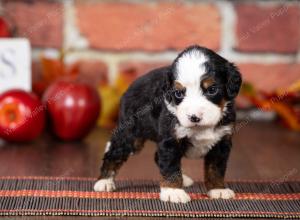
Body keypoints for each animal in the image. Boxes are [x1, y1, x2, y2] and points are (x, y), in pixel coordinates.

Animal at [94, 44, 241, 203]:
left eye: (212, 89)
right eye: (179, 93)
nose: (194, 117)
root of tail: (131, 87)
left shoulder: (221, 141)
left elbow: (216, 168)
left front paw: (218, 189)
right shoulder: (170, 140)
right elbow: (170, 166)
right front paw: (173, 191)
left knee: (156, 156)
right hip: (130, 136)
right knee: (113, 152)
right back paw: (104, 181)